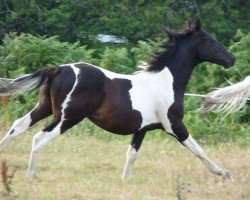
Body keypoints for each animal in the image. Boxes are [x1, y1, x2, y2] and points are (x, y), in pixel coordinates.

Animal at [0, 19, 235, 179]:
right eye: (210, 41)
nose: (231, 59)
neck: (166, 82)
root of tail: (59, 69)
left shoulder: (142, 129)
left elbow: (131, 155)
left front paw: (125, 181)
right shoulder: (174, 125)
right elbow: (198, 149)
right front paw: (224, 173)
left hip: (45, 107)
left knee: (17, 126)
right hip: (68, 117)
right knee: (39, 138)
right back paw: (32, 175)